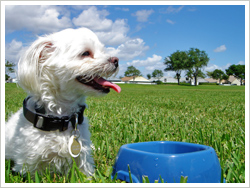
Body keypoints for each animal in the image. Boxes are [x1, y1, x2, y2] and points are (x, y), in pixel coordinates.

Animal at [4, 27, 120, 176]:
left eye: (102, 50)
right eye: (85, 53)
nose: (116, 60)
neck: (61, 119)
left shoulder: (83, 158)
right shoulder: (28, 165)